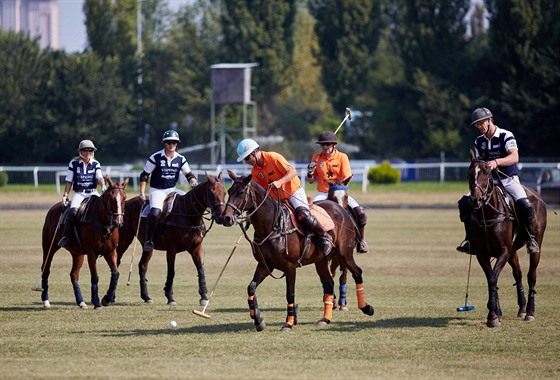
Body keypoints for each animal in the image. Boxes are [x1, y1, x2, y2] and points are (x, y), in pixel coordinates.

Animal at [38, 177, 129, 308]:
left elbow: (116, 273)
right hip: (49, 247)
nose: (118, 222)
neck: (104, 223)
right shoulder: (92, 253)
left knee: (74, 274)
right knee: (45, 269)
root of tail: (53, 208)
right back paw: (46, 301)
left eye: (124, 197)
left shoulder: (110, 252)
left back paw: (81, 302)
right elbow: (95, 277)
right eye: (110, 197)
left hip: (77, 253)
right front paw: (96, 302)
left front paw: (106, 299)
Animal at [117, 173, 225, 306]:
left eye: (225, 193)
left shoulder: (196, 248)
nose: (221, 217)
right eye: (211, 193)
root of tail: (126, 202)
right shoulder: (171, 249)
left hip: (147, 245)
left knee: (142, 265)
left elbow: (201, 270)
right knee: (117, 260)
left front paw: (204, 296)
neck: (189, 216)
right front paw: (170, 297)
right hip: (124, 239)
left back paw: (146, 296)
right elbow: (171, 272)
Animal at [221, 171, 374, 332]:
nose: (225, 218)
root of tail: (341, 209)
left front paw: (288, 324)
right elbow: (251, 288)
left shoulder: (290, 266)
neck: (272, 225)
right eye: (229, 191)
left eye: (241, 192)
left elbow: (290, 294)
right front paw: (258, 320)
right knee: (329, 283)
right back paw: (325, 319)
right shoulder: (265, 265)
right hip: (321, 260)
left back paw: (366, 308)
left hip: (345, 253)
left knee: (357, 273)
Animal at [464, 150, 548, 328]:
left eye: (486, 172)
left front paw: (492, 316)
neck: (488, 216)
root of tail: (536, 195)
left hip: (536, 242)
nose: (475, 200)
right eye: (469, 173)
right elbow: (491, 278)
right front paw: (495, 312)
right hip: (513, 251)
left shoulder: (503, 251)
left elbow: (493, 277)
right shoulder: (482, 253)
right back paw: (522, 308)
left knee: (531, 275)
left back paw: (530, 312)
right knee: (518, 274)